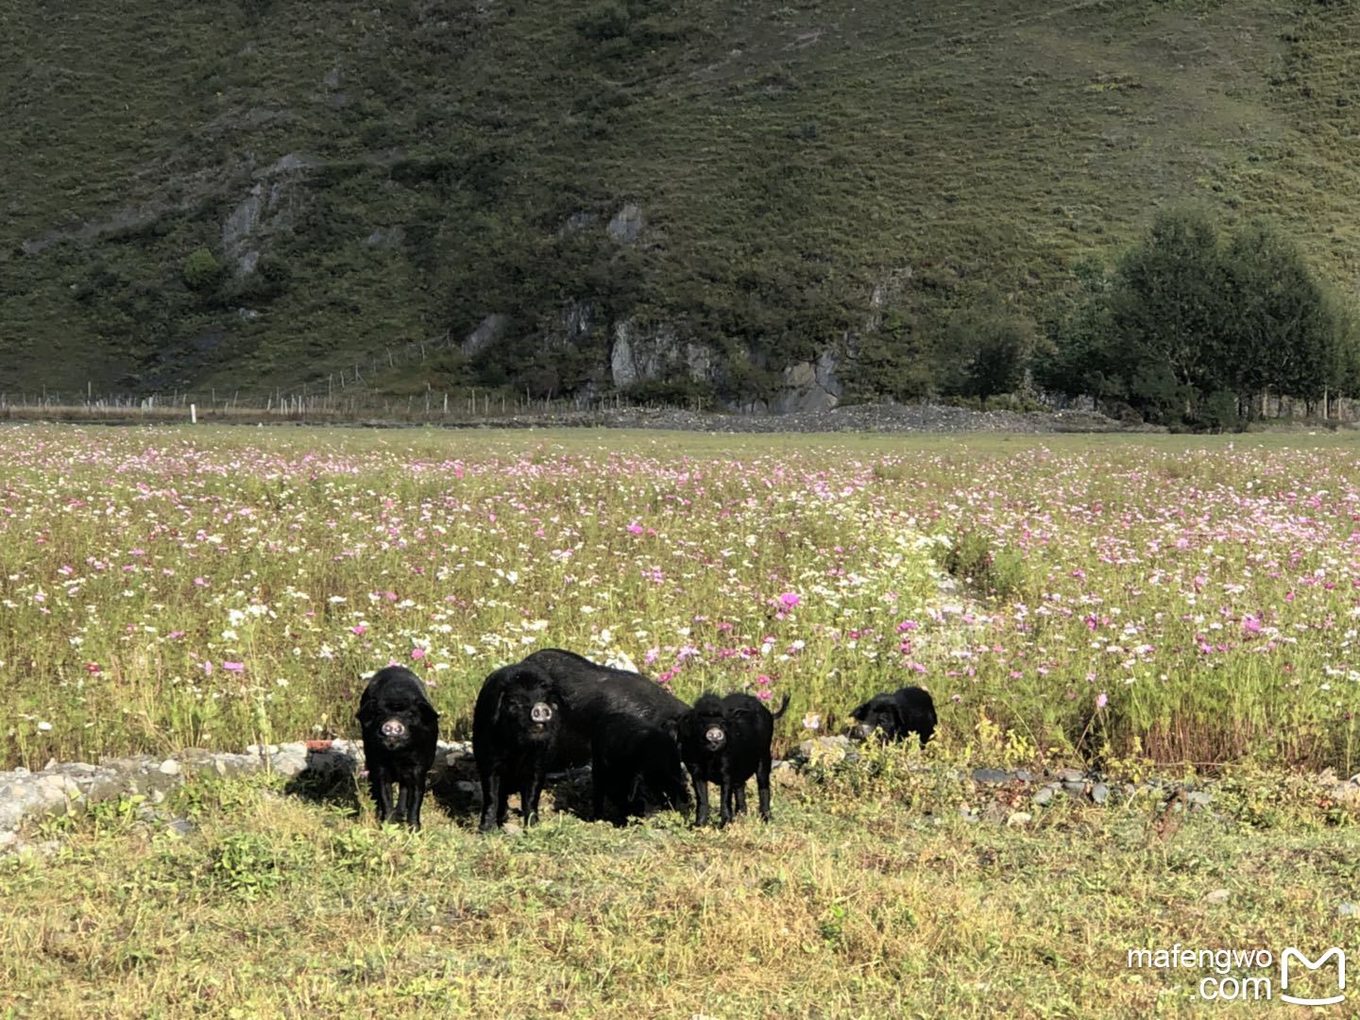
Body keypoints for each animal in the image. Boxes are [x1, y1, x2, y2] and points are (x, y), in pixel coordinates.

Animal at [353, 671, 437, 832]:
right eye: (380, 712)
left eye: (411, 714)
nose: (392, 724)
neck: (397, 756)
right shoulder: (379, 765)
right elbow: (385, 794)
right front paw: (386, 825)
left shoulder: (419, 767)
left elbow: (416, 796)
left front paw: (414, 830)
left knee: (404, 789)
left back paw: (400, 815)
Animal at [473, 663, 563, 832]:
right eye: (514, 702)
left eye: (544, 699)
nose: (540, 707)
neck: (518, 750)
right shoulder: (487, 760)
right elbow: (491, 794)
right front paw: (485, 830)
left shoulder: (539, 764)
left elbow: (532, 796)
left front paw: (533, 827)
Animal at [677, 696, 794, 832]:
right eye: (701, 722)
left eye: (723, 722)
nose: (714, 733)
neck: (710, 758)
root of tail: (768, 712)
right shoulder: (695, 772)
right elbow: (701, 798)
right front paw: (696, 826)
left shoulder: (727, 771)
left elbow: (725, 798)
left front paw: (724, 826)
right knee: (740, 787)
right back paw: (741, 816)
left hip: (765, 757)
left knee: (763, 786)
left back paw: (766, 819)